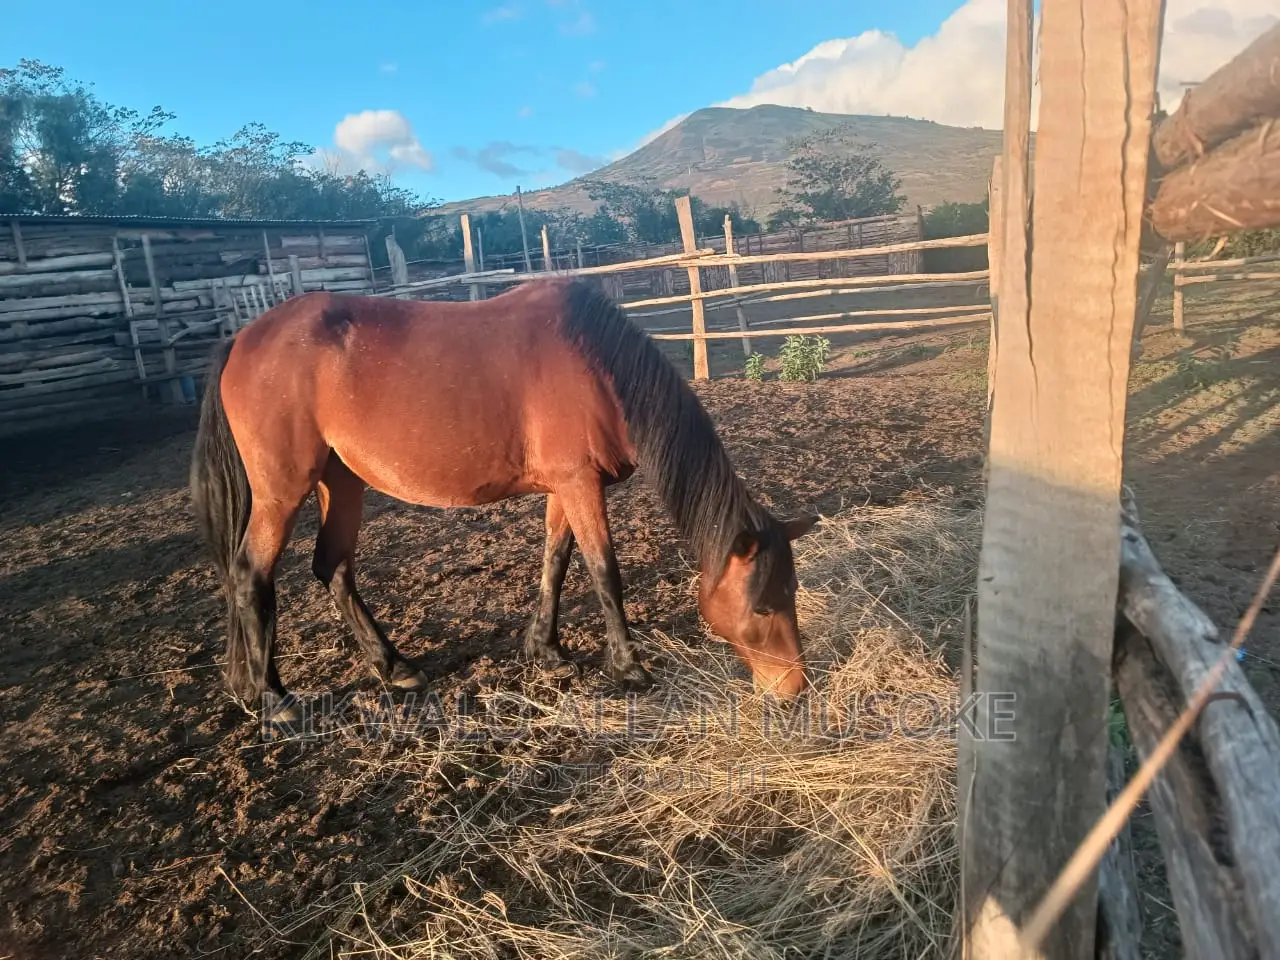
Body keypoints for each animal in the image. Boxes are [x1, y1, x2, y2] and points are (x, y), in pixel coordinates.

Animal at [188, 276, 818, 726]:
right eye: (764, 606)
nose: (794, 690)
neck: (597, 365)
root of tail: (242, 340)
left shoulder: (567, 487)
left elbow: (556, 562)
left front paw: (546, 649)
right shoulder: (580, 485)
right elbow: (604, 572)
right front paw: (629, 668)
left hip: (340, 482)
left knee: (334, 568)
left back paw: (395, 668)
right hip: (282, 490)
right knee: (250, 576)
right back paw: (276, 700)